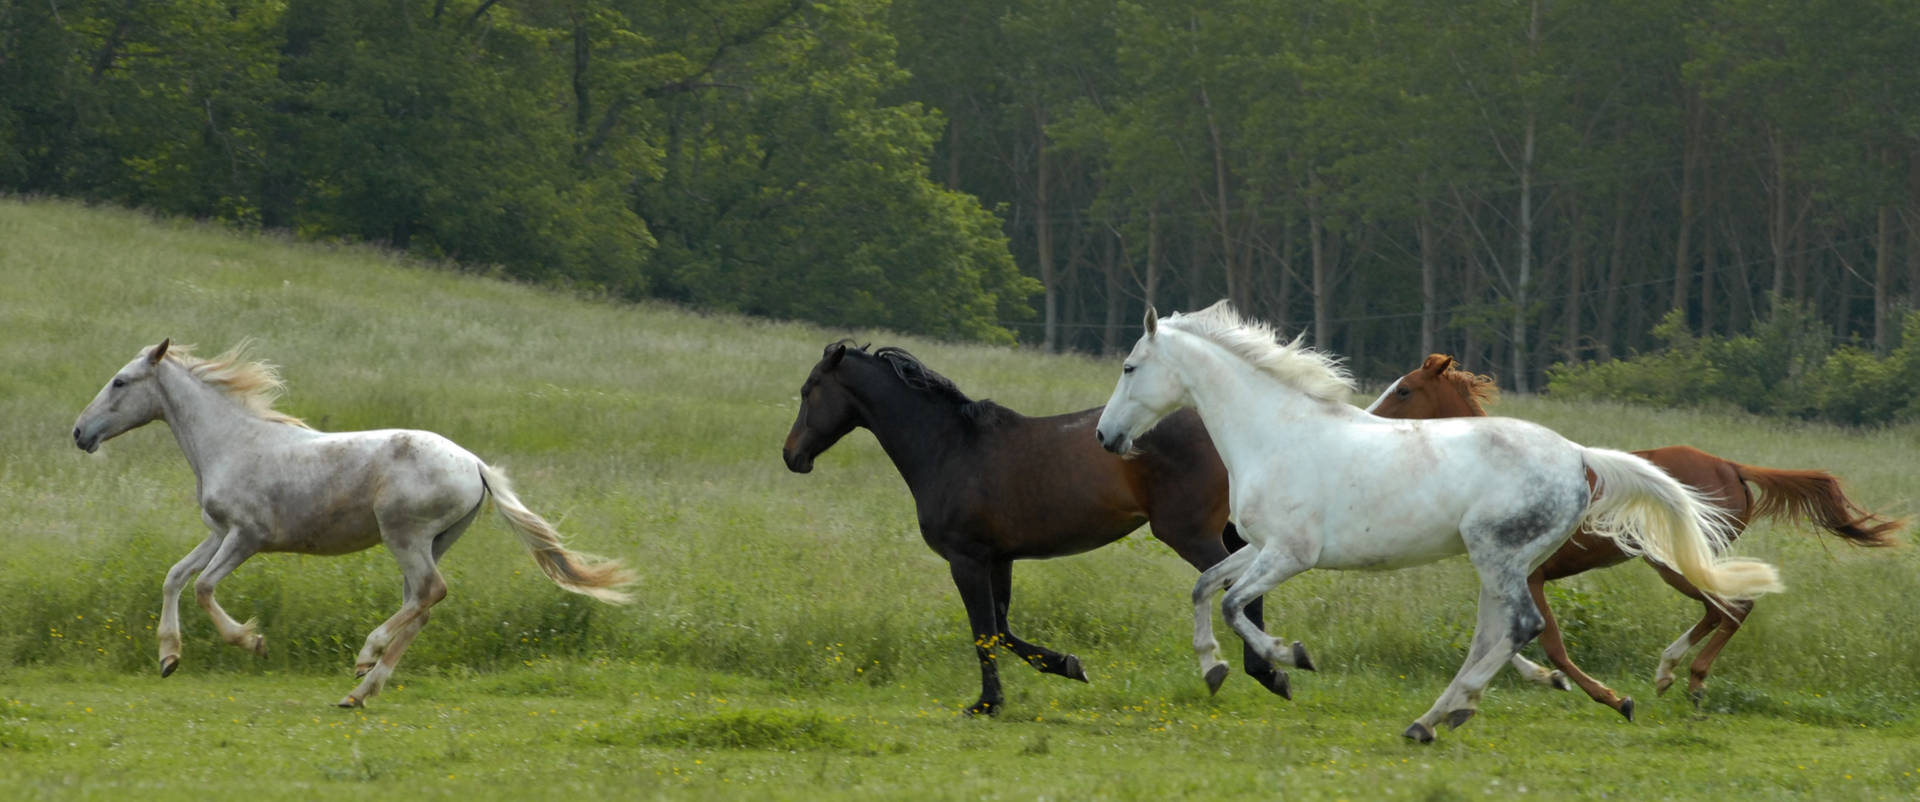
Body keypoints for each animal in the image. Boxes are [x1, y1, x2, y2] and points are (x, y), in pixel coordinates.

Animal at [72, 340, 636, 707]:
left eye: (120, 381)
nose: (79, 432)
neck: (232, 442)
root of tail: (476, 464)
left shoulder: (247, 537)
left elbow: (204, 587)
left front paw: (253, 642)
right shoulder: (218, 531)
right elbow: (174, 576)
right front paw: (169, 657)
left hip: (404, 535)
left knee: (429, 593)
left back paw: (366, 656)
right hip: (433, 541)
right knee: (421, 605)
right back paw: (361, 690)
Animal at [781, 340, 1299, 716]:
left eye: (808, 389)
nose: (792, 455)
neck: (949, 448)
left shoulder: (965, 559)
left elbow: (983, 632)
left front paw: (987, 704)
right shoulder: (998, 558)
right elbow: (1002, 629)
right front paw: (1069, 665)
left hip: (1188, 533)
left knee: (1232, 587)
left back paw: (1266, 671)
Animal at [1092, 302, 1784, 742]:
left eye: (1129, 367)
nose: (1105, 437)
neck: (1277, 433)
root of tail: (1580, 456)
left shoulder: (1290, 554)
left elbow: (1235, 604)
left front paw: (1292, 658)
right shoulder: (1260, 547)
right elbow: (1204, 587)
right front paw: (1213, 667)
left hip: (1496, 556)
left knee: (1521, 629)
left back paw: (1443, 717)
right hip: (1502, 564)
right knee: (1497, 635)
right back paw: (1439, 718)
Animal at [1367, 353, 1901, 717]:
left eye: (1405, 390)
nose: (1368, 419)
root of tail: (1731, 465)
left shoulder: (1530, 577)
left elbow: (1548, 641)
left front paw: (1609, 697)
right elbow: (1510, 641)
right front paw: (1546, 680)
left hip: (1671, 561)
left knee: (1732, 607)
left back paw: (1689, 679)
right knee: (1721, 610)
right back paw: (1670, 673)